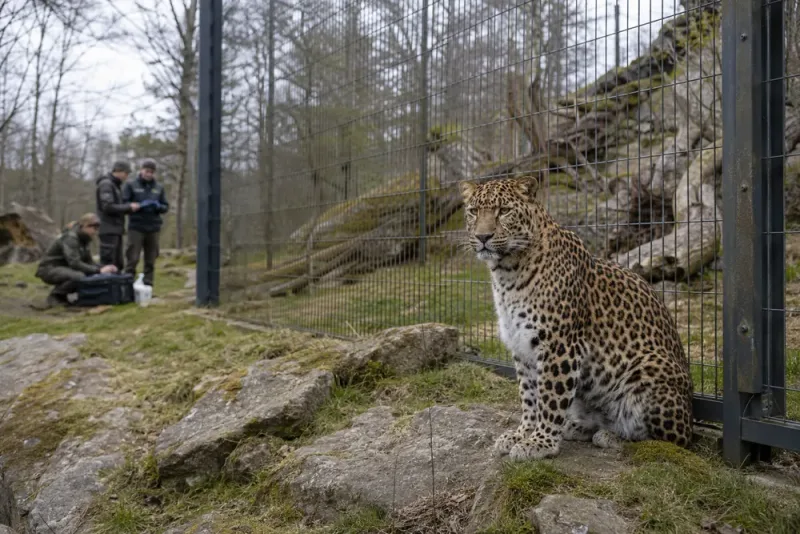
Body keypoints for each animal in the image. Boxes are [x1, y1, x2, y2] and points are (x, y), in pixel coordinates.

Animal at [459, 176, 694, 461]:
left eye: (504, 211)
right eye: (473, 211)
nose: (482, 237)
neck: (507, 273)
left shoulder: (559, 345)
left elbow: (550, 397)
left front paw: (540, 443)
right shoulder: (521, 346)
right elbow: (529, 396)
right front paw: (521, 434)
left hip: (647, 371)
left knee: (670, 440)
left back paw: (613, 437)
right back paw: (579, 427)